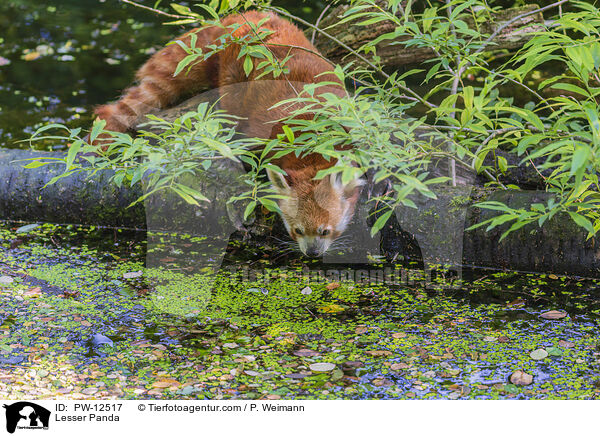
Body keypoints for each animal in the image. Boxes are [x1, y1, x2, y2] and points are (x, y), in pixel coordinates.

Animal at [94, 10, 366, 258]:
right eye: (297, 230)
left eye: (325, 231)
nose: (312, 253)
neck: (309, 142)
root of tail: (236, 17)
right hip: (233, 71)